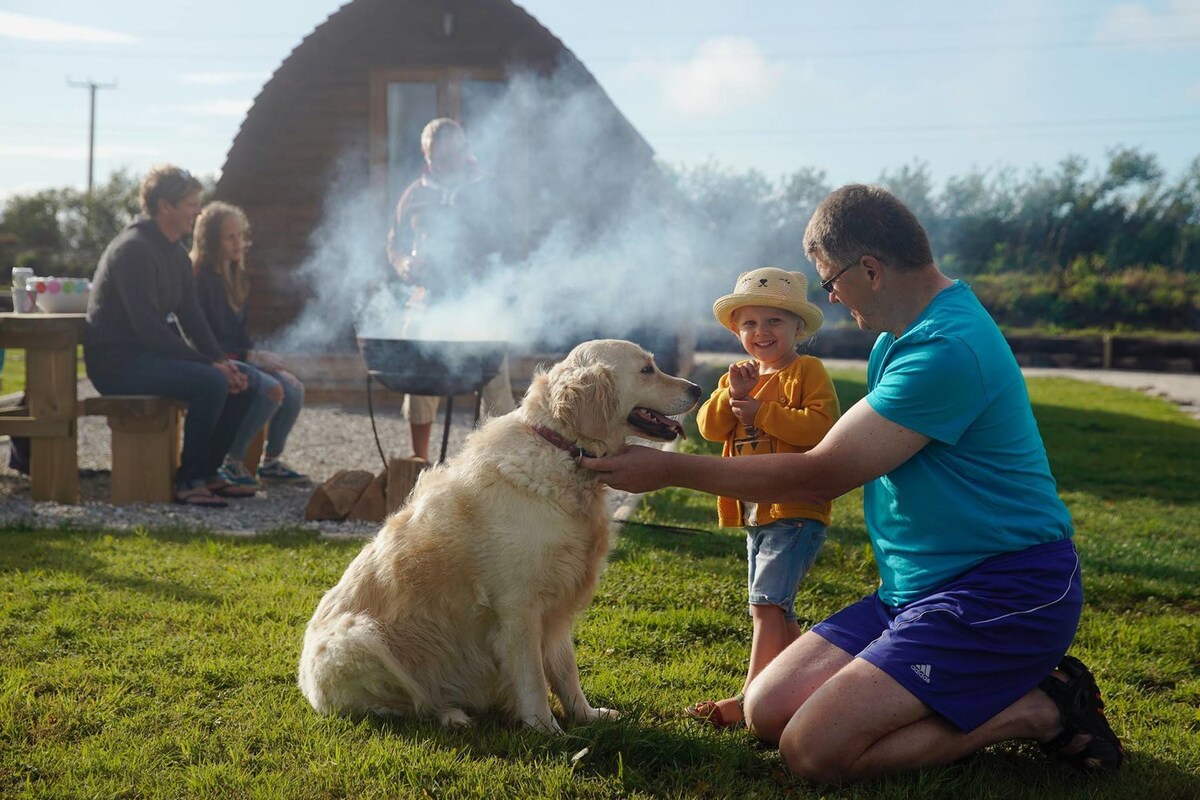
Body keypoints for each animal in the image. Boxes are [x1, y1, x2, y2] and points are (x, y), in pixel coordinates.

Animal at [298, 338, 700, 734]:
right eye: (647, 369)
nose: (697, 389)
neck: (560, 450)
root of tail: (307, 687)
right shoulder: (518, 607)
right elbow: (534, 678)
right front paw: (546, 730)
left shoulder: (559, 604)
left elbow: (566, 671)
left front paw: (586, 715)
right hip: (360, 638)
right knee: (406, 705)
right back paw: (450, 714)